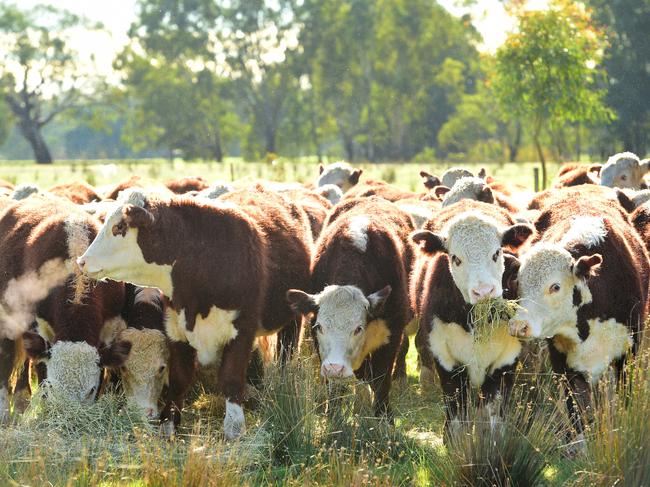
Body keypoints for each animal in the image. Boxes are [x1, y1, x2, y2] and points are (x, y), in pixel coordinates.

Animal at [77, 189, 310, 440]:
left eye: (119, 226)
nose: (82, 261)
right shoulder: (176, 330)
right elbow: (179, 379)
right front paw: (169, 424)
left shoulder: (242, 332)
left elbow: (231, 380)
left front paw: (234, 429)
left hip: (292, 318)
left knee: (287, 351)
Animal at [286, 198, 412, 420]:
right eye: (319, 327)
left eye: (358, 328)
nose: (334, 368)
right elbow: (336, 389)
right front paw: (333, 416)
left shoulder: (392, 334)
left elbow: (381, 381)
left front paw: (384, 418)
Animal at [410, 200, 532, 436]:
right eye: (455, 258)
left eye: (496, 253)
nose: (483, 291)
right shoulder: (446, 359)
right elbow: (457, 412)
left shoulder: (506, 359)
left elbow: (494, 415)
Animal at [508, 206, 644, 442]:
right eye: (518, 283)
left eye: (555, 286)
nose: (519, 326)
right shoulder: (562, 364)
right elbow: (576, 413)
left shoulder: (628, 354)